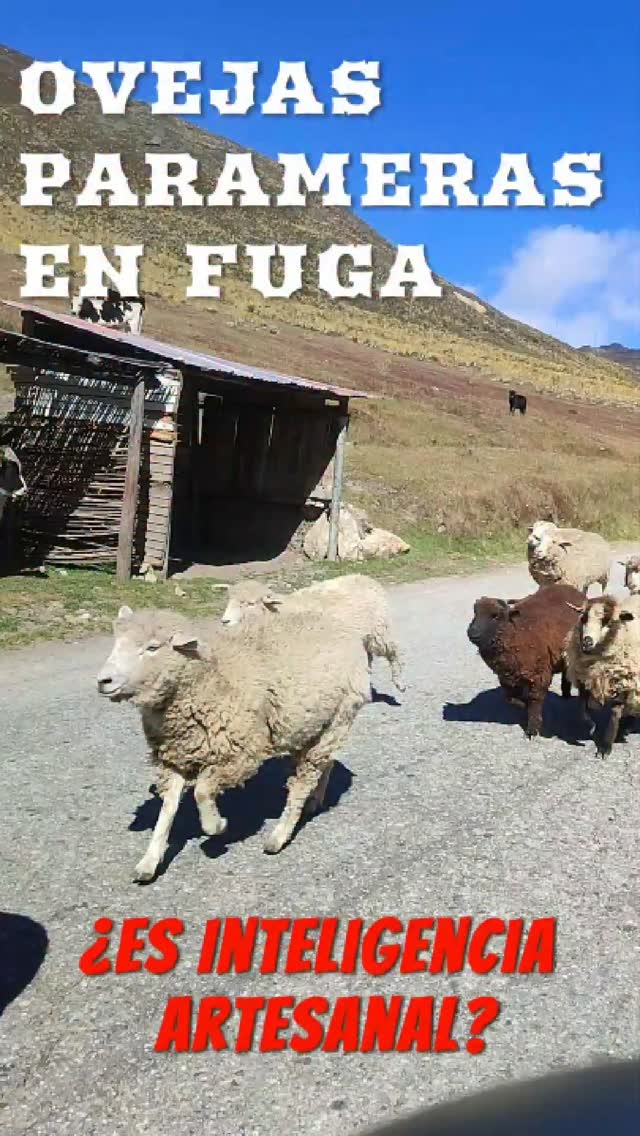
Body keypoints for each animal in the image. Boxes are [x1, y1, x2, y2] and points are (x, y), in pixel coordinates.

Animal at [96, 605, 371, 882]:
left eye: (152, 647)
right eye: (117, 642)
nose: (103, 681)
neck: (211, 677)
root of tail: (341, 628)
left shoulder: (240, 754)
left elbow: (201, 791)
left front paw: (216, 825)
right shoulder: (176, 756)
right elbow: (168, 808)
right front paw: (149, 861)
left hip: (338, 717)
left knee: (303, 781)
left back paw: (279, 835)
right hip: (308, 728)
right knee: (324, 764)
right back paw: (315, 801)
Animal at [219, 574, 405, 692]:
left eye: (250, 603)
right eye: (229, 600)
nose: (224, 621)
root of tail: (366, 579)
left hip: (378, 630)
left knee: (394, 651)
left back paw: (399, 683)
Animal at [466, 583, 585, 737]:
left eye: (495, 616)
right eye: (475, 613)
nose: (472, 633)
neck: (517, 633)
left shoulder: (540, 675)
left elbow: (535, 699)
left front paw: (533, 728)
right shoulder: (506, 678)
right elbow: (511, 699)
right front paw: (524, 705)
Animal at [564, 593, 640, 757]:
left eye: (607, 621)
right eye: (583, 618)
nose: (587, 642)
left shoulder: (623, 684)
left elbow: (614, 715)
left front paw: (605, 747)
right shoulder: (585, 681)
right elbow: (583, 710)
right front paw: (592, 727)